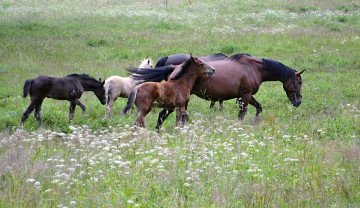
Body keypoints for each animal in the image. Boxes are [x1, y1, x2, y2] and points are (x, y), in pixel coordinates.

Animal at [129, 52, 304, 129]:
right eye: (299, 82)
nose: (298, 101)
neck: (253, 68)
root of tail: (173, 66)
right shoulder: (245, 96)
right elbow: (242, 115)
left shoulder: (246, 96)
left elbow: (259, 108)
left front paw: (254, 123)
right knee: (162, 115)